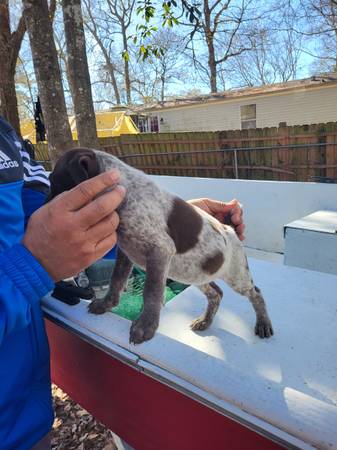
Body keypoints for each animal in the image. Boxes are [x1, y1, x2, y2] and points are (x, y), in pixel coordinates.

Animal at [48, 149, 272, 344]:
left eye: (54, 181)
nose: (46, 212)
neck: (124, 192)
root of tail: (230, 229)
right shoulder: (126, 252)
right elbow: (116, 280)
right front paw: (106, 304)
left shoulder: (159, 251)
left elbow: (152, 291)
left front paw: (145, 326)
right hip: (195, 274)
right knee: (216, 294)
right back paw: (205, 321)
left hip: (236, 276)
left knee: (256, 294)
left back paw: (263, 323)